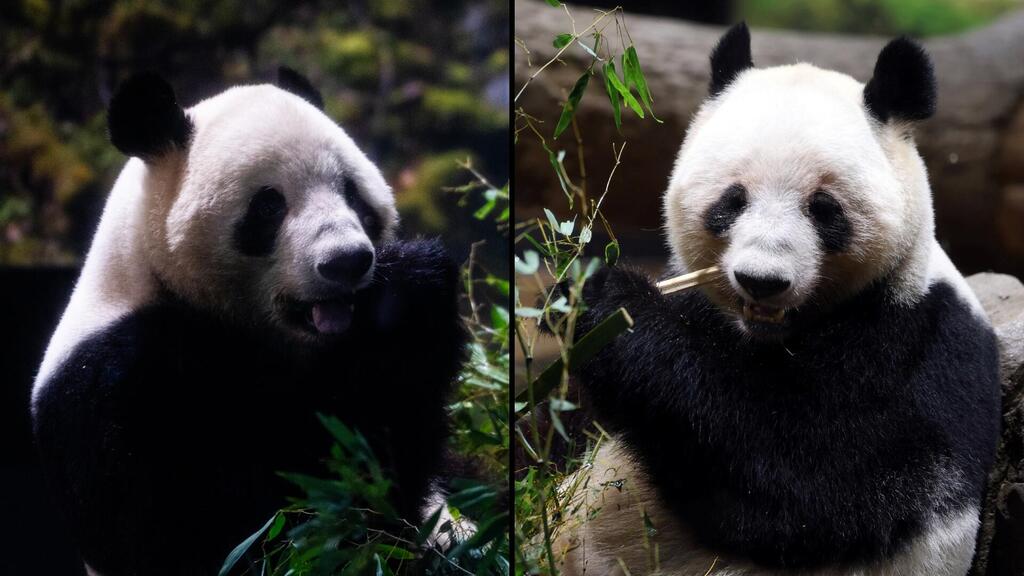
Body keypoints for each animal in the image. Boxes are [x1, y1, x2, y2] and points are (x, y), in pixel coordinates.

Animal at [31, 68, 467, 575]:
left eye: (351, 192)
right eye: (269, 204)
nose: (346, 261)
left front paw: (406, 292)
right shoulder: (116, 386)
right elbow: (227, 527)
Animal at [555, 24, 1001, 576]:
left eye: (824, 209)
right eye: (731, 201)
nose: (761, 281)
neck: (770, 335)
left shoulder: (910, 351)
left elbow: (801, 483)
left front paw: (613, 305)